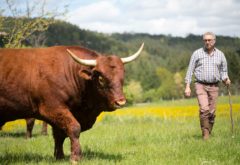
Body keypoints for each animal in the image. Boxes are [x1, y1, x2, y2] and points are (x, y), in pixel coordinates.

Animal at [0, 42, 143, 162]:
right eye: (101, 78)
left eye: (122, 76)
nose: (121, 102)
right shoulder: (53, 108)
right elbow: (74, 128)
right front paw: (75, 157)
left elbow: (59, 135)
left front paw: (59, 156)